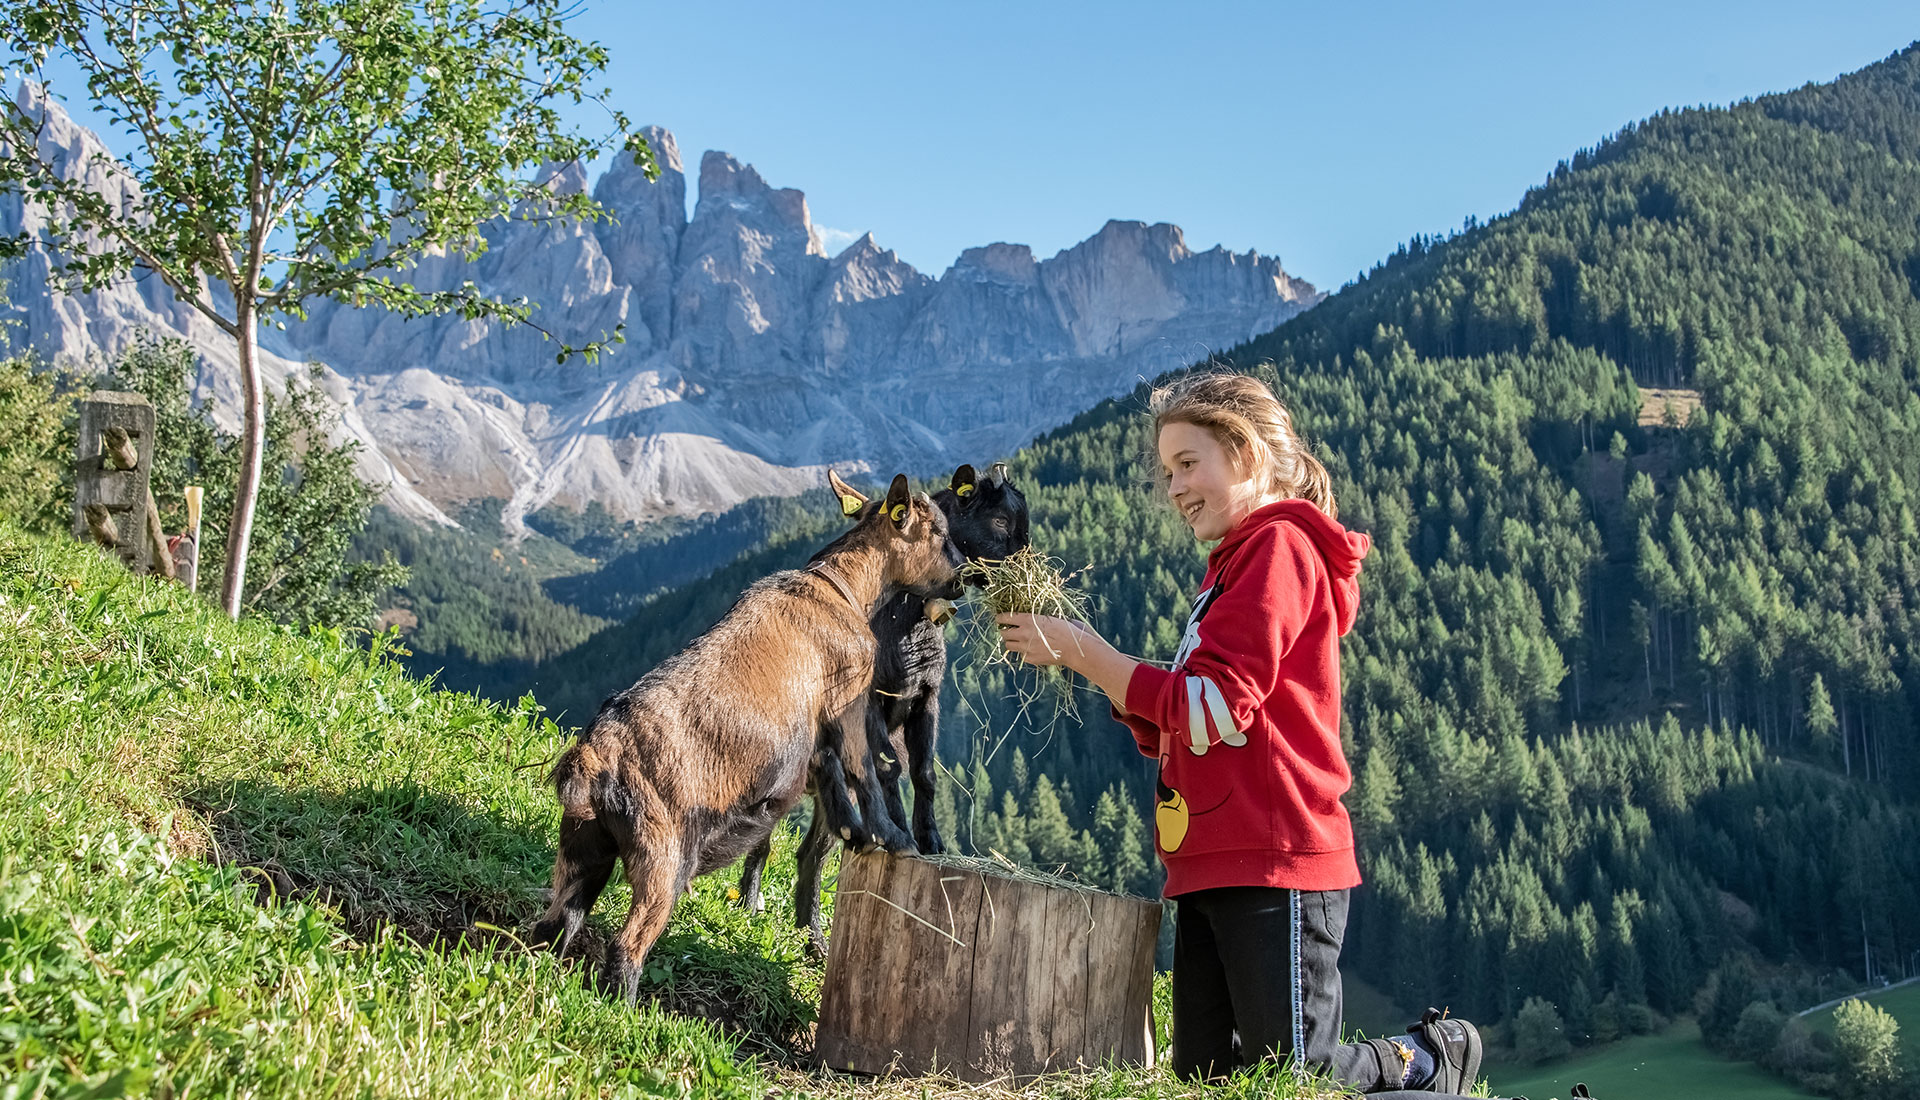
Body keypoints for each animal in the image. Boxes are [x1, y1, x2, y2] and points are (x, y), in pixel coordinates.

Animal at [526, 468, 960, 998]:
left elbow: (832, 775)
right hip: (662, 855)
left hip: (582, 847)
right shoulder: (850, 700)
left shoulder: (815, 736)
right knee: (627, 946)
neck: (841, 589)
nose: (964, 576)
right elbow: (866, 771)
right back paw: (625, 1008)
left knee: (554, 923)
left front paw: (854, 833)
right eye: (938, 531)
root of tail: (593, 758)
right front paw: (895, 838)